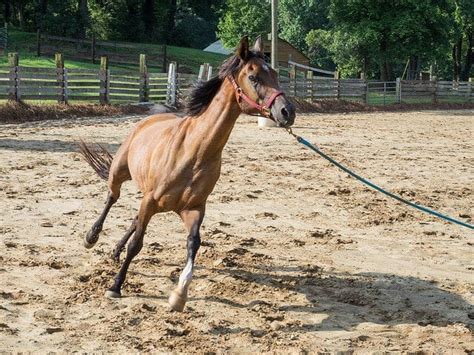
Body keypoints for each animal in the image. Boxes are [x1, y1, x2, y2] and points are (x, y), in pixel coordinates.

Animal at [80, 36, 296, 312]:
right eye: (253, 76)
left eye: (276, 74)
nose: (287, 112)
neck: (193, 152)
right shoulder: (150, 201)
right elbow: (137, 244)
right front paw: (115, 286)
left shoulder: (192, 209)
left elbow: (193, 244)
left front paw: (179, 295)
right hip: (120, 172)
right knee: (112, 197)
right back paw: (91, 236)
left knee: (133, 218)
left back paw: (115, 251)